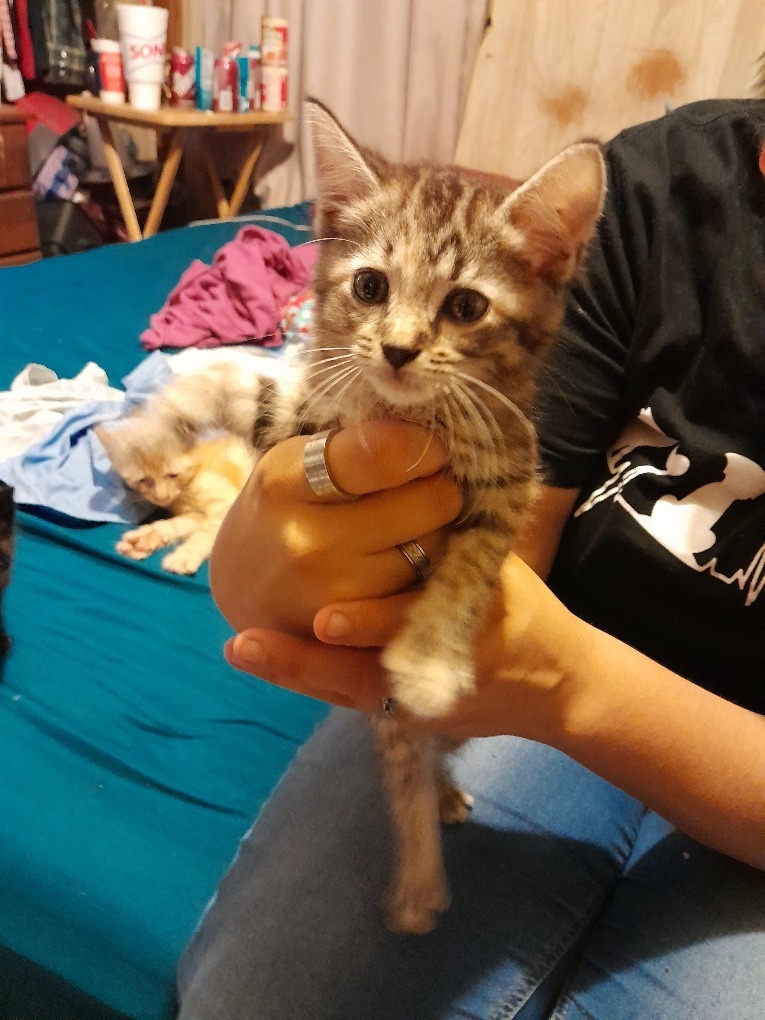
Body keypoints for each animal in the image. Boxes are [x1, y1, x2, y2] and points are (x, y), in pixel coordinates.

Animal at [95, 424, 251, 579]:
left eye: (172, 475)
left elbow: (206, 533)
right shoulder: (195, 515)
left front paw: (185, 555)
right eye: (144, 480)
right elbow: (180, 523)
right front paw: (149, 536)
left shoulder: (228, 507)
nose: (161, 497)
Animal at [127, 97, 603, 934]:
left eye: (466, 306)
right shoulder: (304, 418)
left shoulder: (508, 474)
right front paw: (148, 433)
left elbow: (467, 568)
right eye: (371, 286)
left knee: (413, 749)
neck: (404, 417)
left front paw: (428, 660)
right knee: (405, 759)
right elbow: (232, 382)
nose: (399, 350)